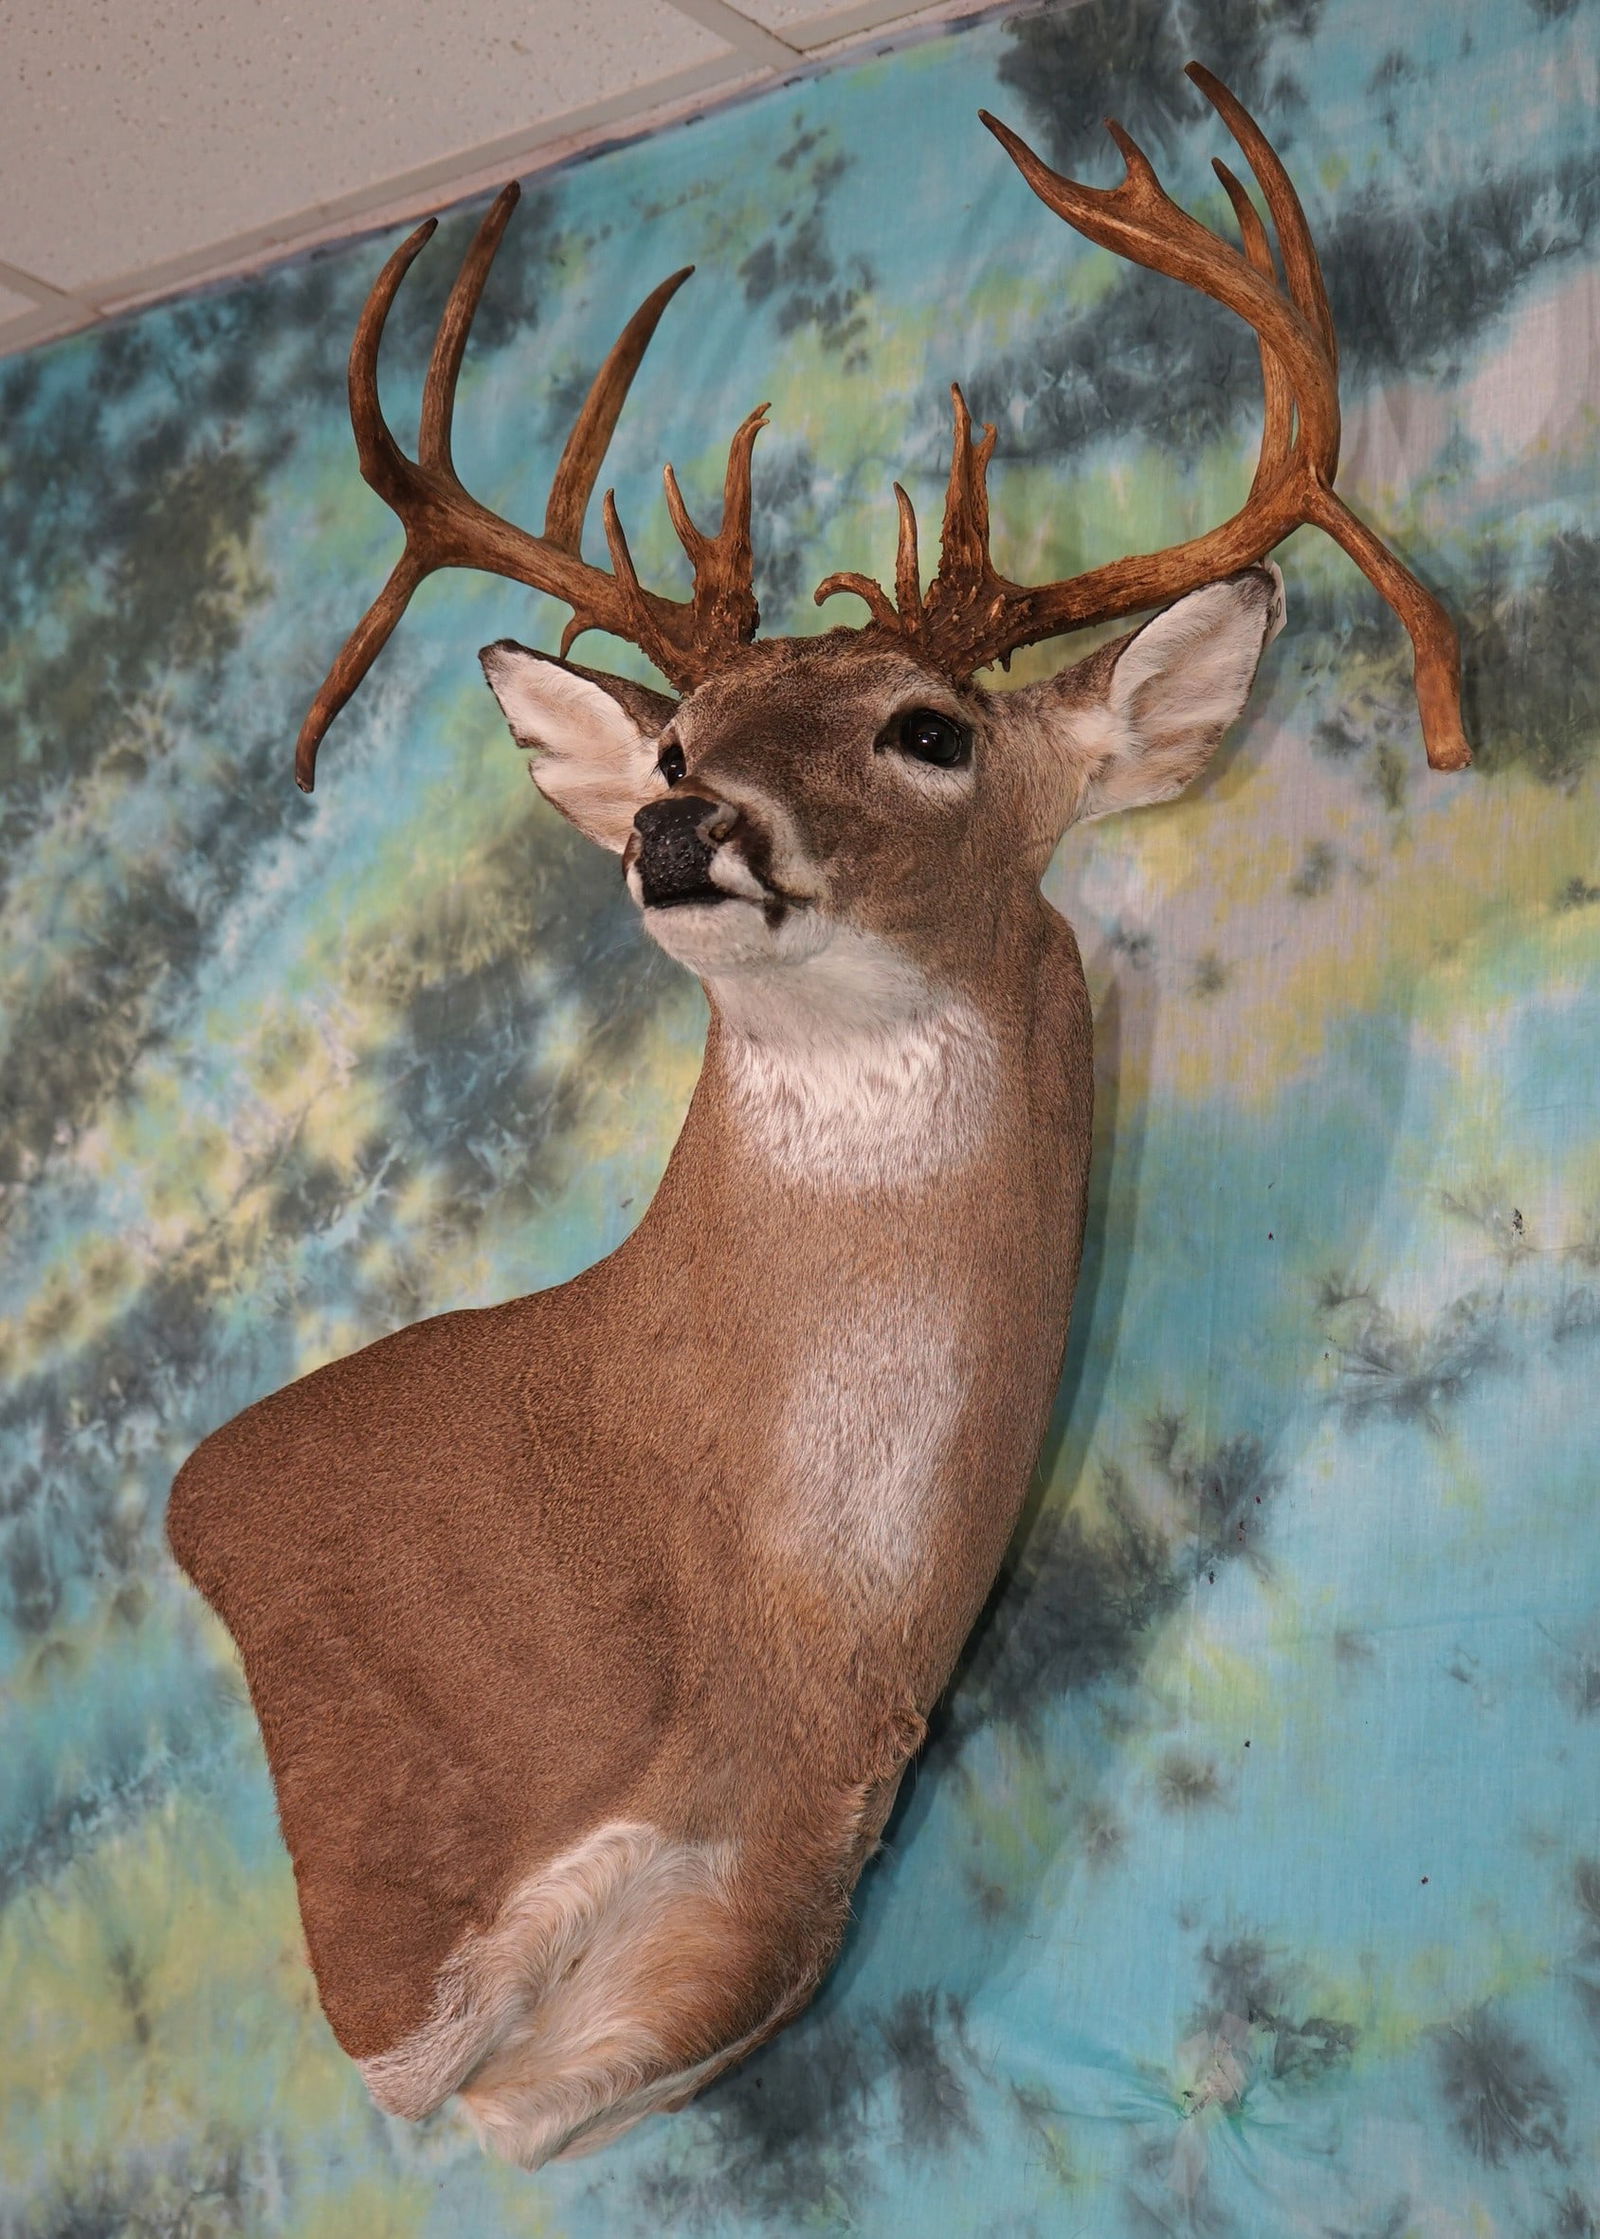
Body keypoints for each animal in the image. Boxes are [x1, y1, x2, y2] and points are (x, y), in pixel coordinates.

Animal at [166, 66, 1468, 2171]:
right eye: (678, 741)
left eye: (930, 726)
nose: (674, 824)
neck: (774, 1656)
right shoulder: (413, 1942)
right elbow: (468, 2072)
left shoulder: (742, 1919)